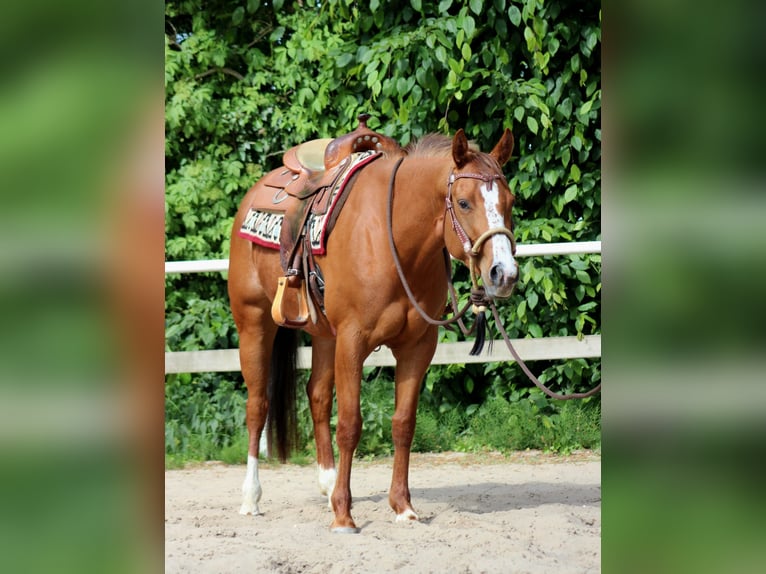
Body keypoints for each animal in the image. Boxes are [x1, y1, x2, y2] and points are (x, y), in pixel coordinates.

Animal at [227, 125, 518, 532]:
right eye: (463, 203)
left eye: (510, 201)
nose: (503, 274)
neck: (393, 237)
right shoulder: (353, 341)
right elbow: (350, 425)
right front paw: (344, 516)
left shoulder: (418, 346)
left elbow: (403, 424)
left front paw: (403, 507)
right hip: (253, 323)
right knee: (258, 405)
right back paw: (251, 498)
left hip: (323, 334)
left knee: (317, 395)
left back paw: (328, 483)